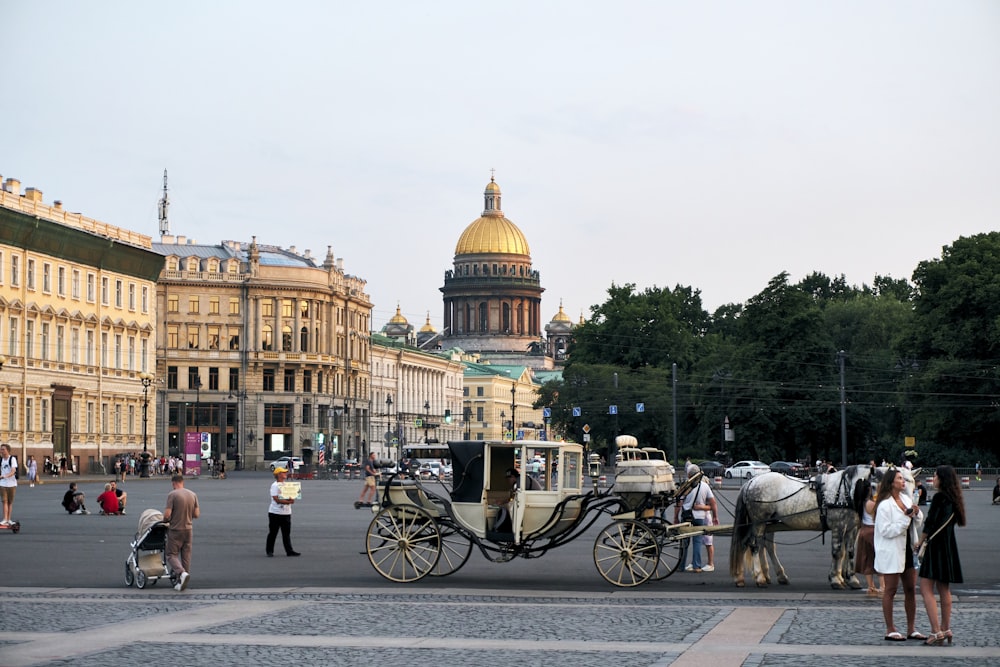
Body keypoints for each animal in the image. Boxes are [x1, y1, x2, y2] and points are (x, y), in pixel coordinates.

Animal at [728, 464, 916, 588]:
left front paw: (850, 578)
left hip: (767, 524)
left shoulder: (852, 528)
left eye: (912, 484)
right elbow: (837, 552)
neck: (846, 491)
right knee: (753, 545)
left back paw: (759, 576)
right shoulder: (838, 526)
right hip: (758, 522)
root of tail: (751, 482)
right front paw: (836, 579)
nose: (909, 509)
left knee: (759, 545)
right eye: (874, 485)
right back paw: (759, 577)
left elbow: (848, 552)